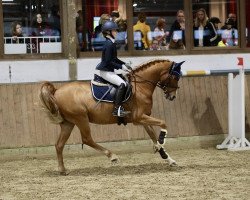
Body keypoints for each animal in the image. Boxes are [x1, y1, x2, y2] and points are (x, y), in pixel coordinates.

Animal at [39, 58, 184, 174]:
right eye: (175, 77)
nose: (172, 96)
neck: (141, 87)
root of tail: (57, 90)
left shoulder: (143, 118)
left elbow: (153, 137)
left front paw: (169, 159)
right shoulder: (138, 118)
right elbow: (163, 123)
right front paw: (162, 139)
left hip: (68, 123)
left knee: (59, 145)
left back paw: (62, 170)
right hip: (81, 119)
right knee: (87, 139)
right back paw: (112, 156)